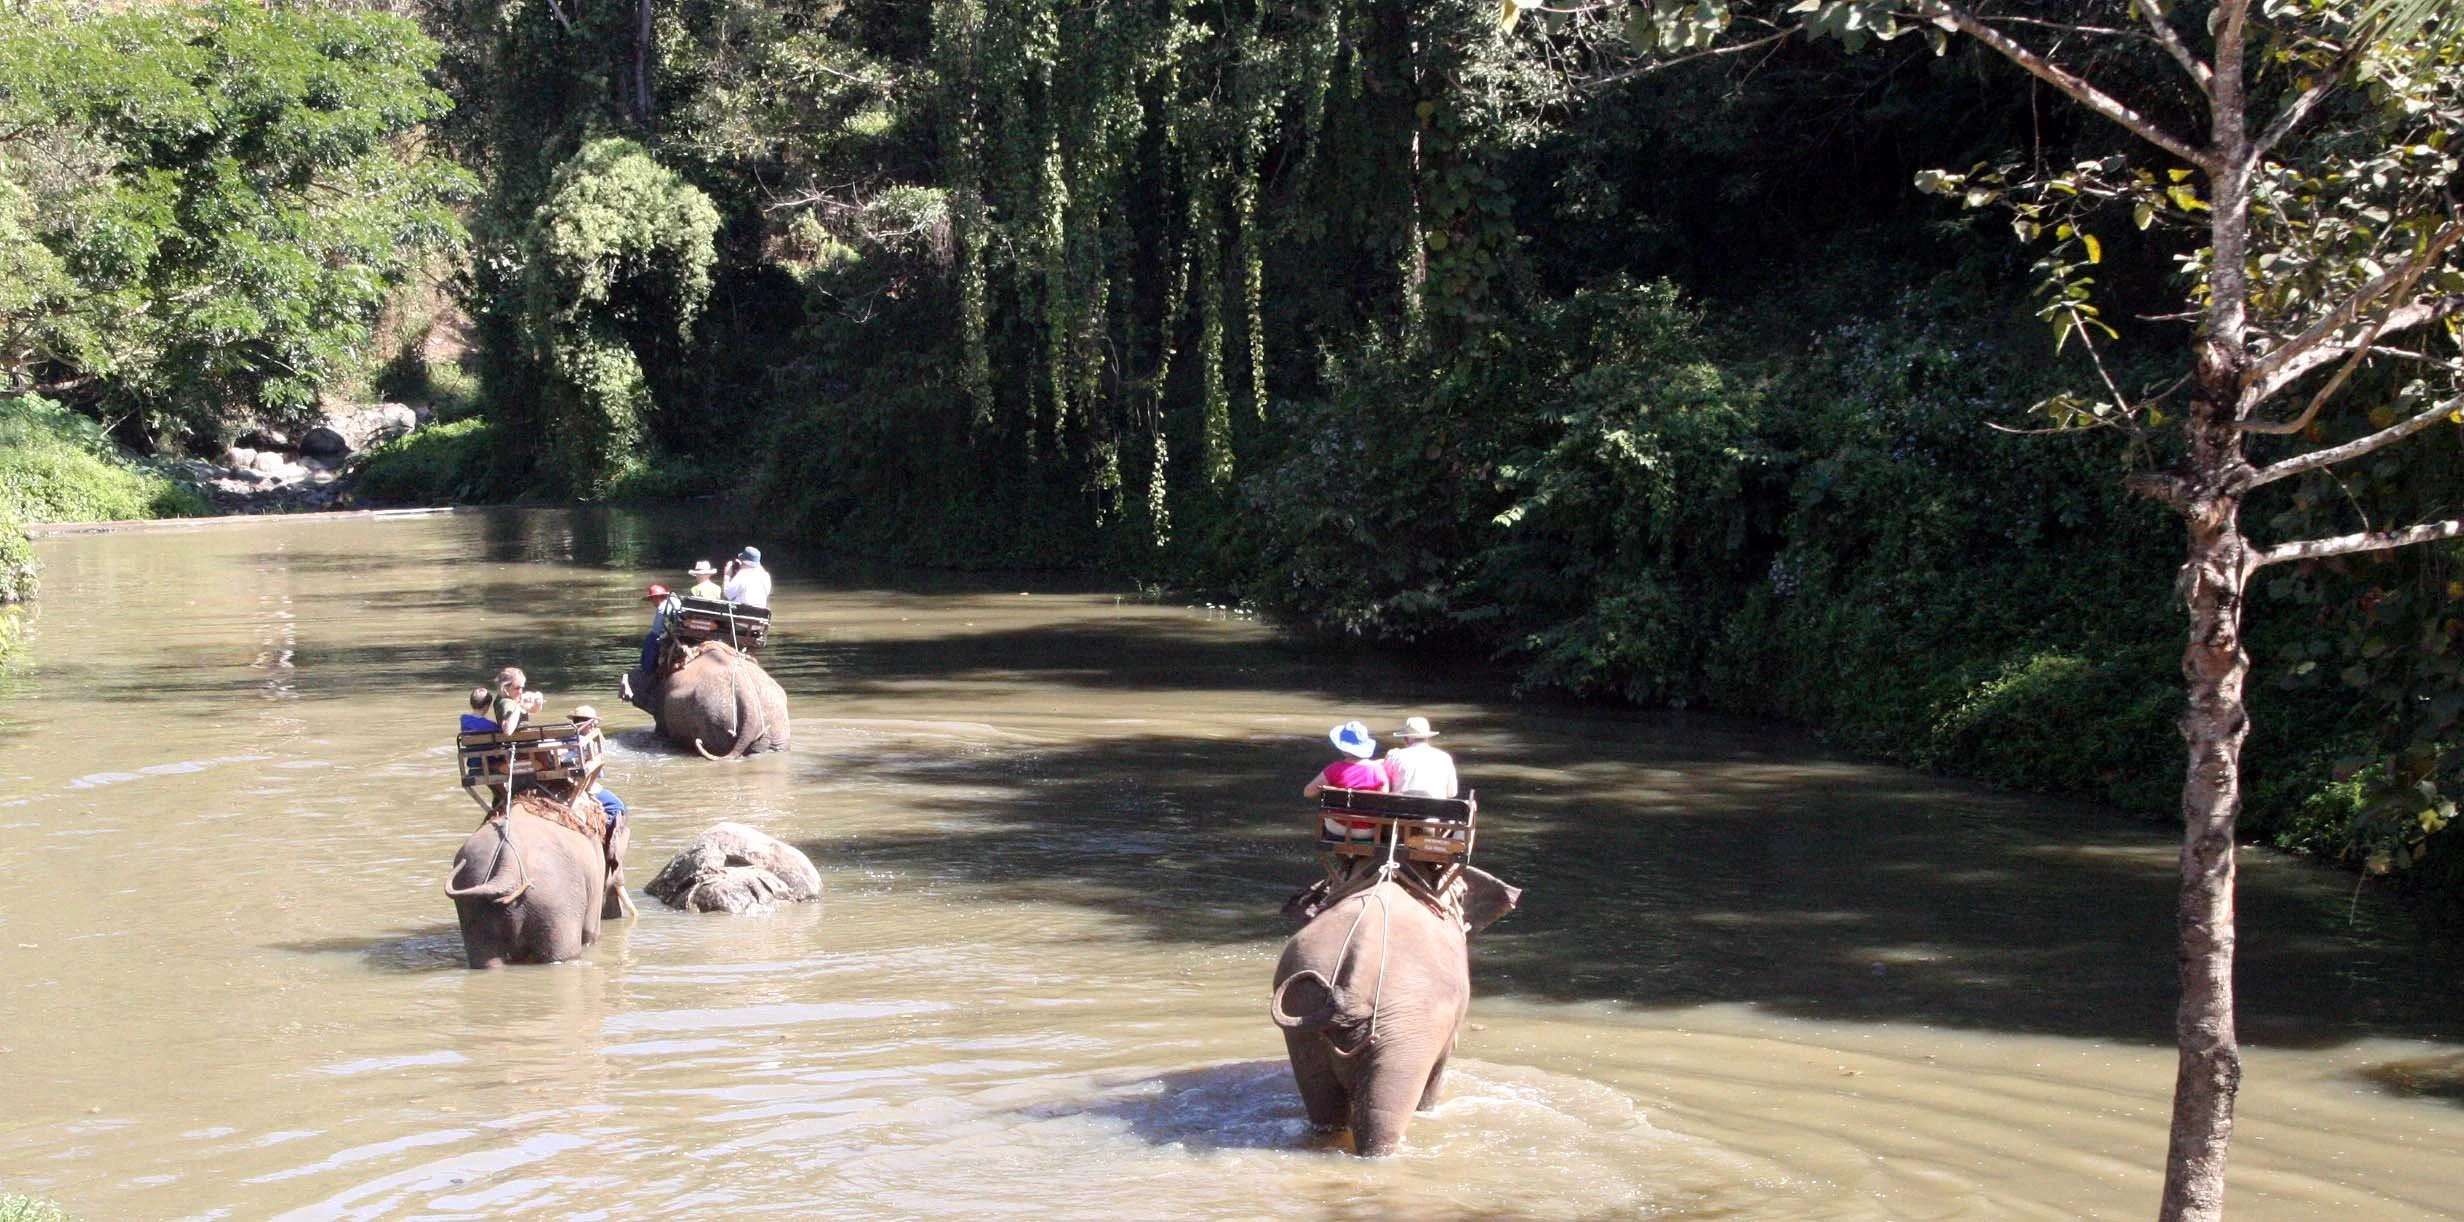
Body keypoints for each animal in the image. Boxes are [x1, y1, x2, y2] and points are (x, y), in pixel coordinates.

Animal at [445, 792, 633, 968]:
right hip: (557, 904)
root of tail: (508, 863)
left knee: (486, 960)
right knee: (561, 954)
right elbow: (590, 933)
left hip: (472, 899)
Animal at [1270, 865, 1521, 1156]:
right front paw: (1428, 1111)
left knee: (1322, 1102)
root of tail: (1349, 993)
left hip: (1304, 1016)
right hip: (1406, 1032)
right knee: (1383, 1115)